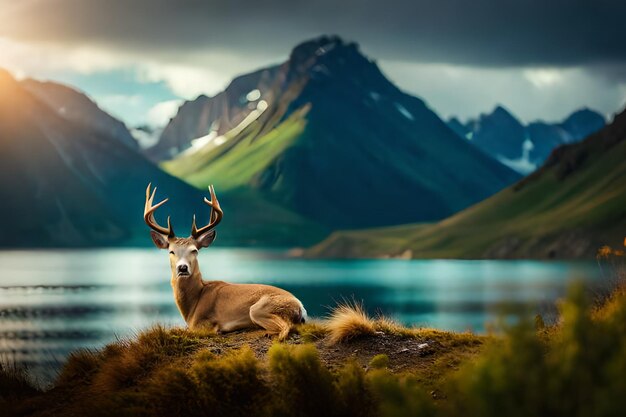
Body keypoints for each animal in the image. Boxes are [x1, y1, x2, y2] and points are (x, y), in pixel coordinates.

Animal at [142, 184, 308, 340]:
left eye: (194, 250)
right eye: (171, 251)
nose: (182, 268)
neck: (193, 303)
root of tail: (300, 306)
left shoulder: (202, 324)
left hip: (259, 309)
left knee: (286, 327)